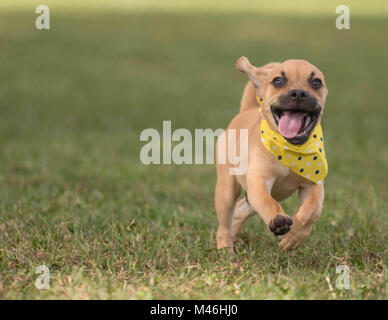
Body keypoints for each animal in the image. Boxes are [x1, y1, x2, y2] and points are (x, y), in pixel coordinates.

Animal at [215, 57, 328, 252]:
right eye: (278, 81)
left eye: (316, 82)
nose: (299, 93)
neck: (290, 149)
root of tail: (246, 111)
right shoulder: (259, 180)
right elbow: (268, 202)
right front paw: (278, 220)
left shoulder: (313, 185)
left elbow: (312, 210)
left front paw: (294, 236)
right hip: (226, 191)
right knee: (224, 223)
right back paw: (225, 249)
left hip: (248, 199)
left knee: (239, 211)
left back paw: (233, 237)